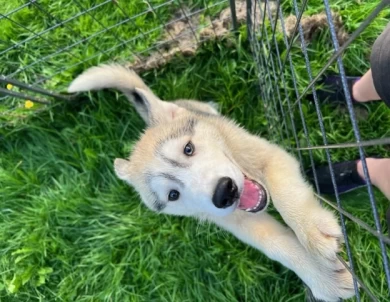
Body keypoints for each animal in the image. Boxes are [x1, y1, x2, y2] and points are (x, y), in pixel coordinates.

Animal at [68, 63, 354, 300]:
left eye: (188, 149)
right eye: (173, 195)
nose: (224, 192)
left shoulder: (268, 156)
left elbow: (286, 195)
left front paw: (314, 231)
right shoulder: (232, 219)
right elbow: (275, 245)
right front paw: (324, 279)